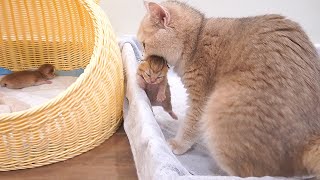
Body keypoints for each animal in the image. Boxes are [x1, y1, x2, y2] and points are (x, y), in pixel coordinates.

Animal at [139, 0, 320, 179]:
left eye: (144, 44)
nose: (141, 57)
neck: (197, 40)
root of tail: (309, 140)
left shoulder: (200, 97)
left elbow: (190, 124)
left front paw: (177, 144)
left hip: (218, 107)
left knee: (248, 173)